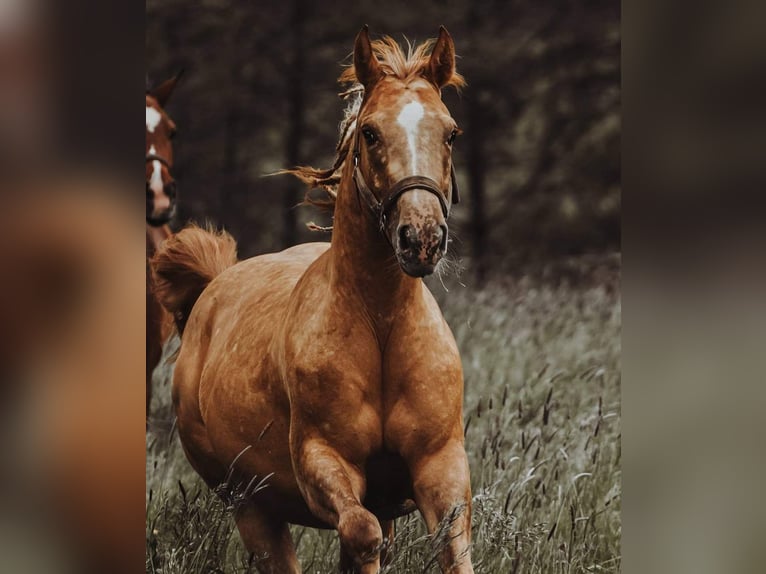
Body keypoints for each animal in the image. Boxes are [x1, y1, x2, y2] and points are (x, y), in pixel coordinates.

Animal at [152, 28, 474, 574]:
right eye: (369, 133)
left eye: (450, 133)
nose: (421, 237)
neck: (380, 325)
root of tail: (212, 287)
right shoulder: (322, 461)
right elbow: (362, 532)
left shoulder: (440, 464)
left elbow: (451, 546)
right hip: (251, 507)